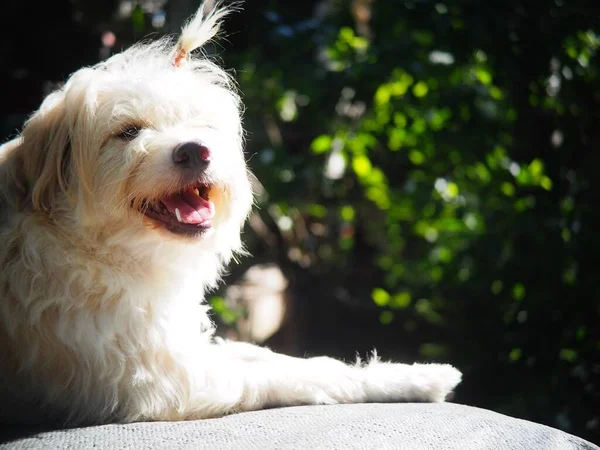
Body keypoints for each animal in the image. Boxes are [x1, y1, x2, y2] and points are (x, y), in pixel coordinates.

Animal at [0, 4, 460, 426]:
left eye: (201, 123)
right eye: (128, 131)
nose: (195, 151)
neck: (85, 246)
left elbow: (265, 354)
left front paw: (415, 376)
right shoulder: (159, 380)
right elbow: (311, 373)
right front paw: (402, 379)